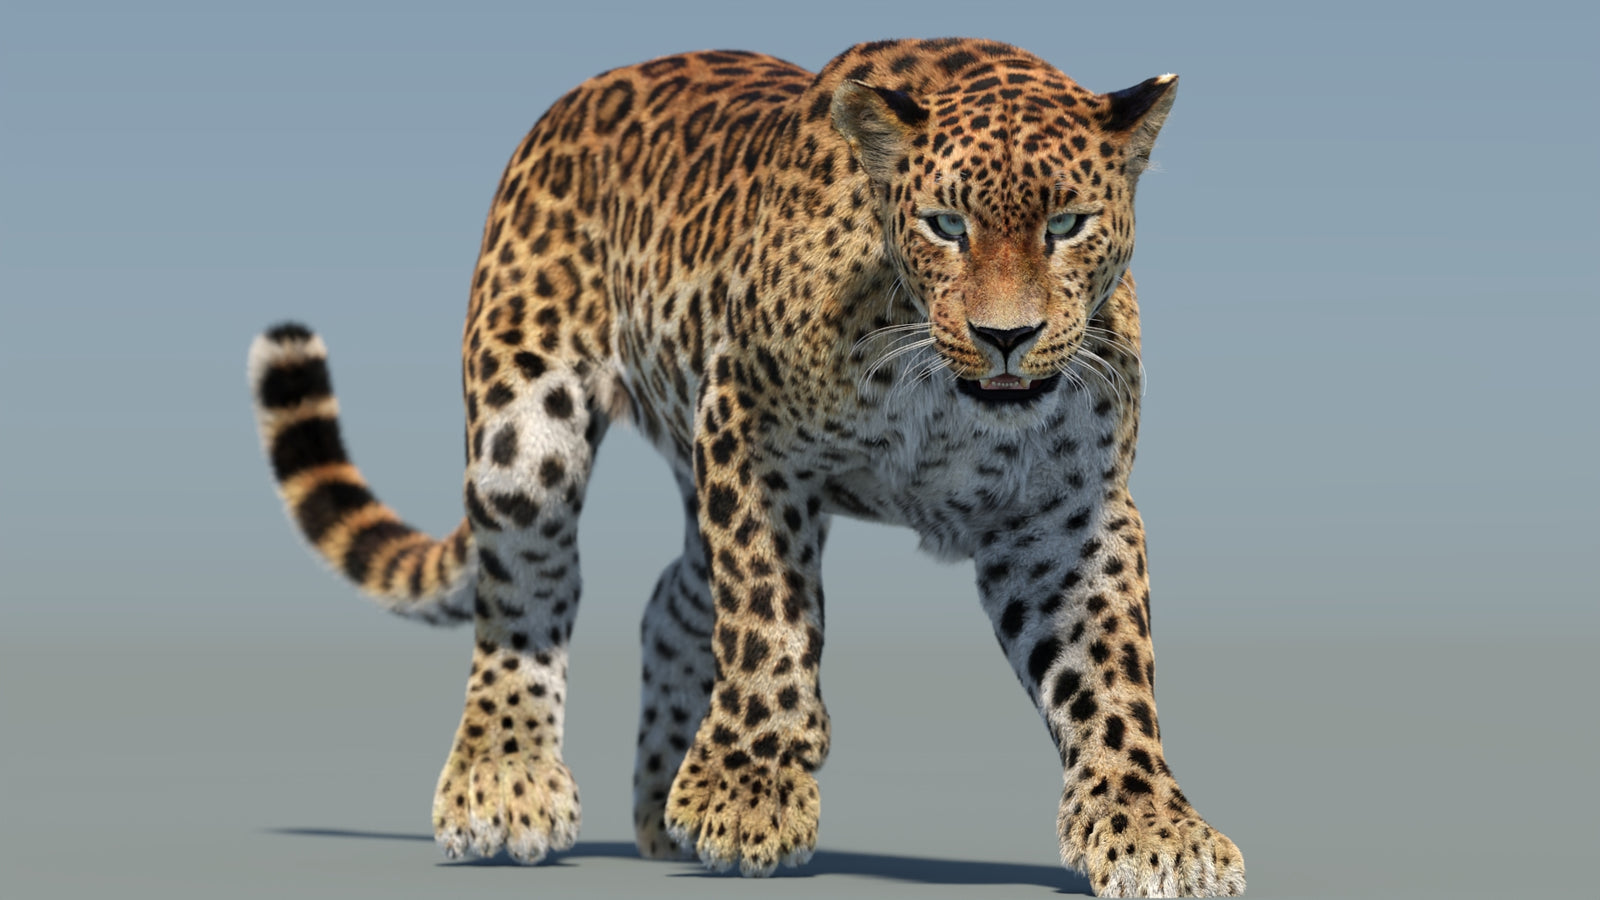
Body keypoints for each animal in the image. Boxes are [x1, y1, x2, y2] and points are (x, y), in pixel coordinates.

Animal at [247, 37, 1245, 897]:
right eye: (945, 225)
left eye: (1067, 224)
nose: (1007, 337)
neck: (937, 389)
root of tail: (576, 98)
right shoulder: (750, 438)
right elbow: (767, 621)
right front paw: (746, 795)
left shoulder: (1064, 511)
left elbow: (1109, 669)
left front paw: (1153, 830)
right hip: (527, 429)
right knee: (527, 593)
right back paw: (504, 784)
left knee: (672, 599)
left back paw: (657, 809)